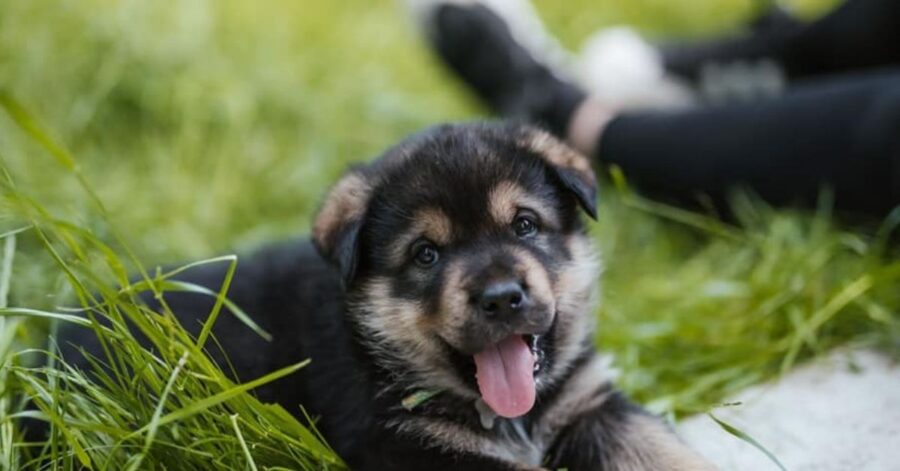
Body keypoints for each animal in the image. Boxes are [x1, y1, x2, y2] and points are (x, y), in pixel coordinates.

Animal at [59, 122, 712, 471]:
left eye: (525, 225)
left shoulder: (588, 403)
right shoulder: (405, 444)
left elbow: (658, 446)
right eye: (426, 255)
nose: (502, 298)